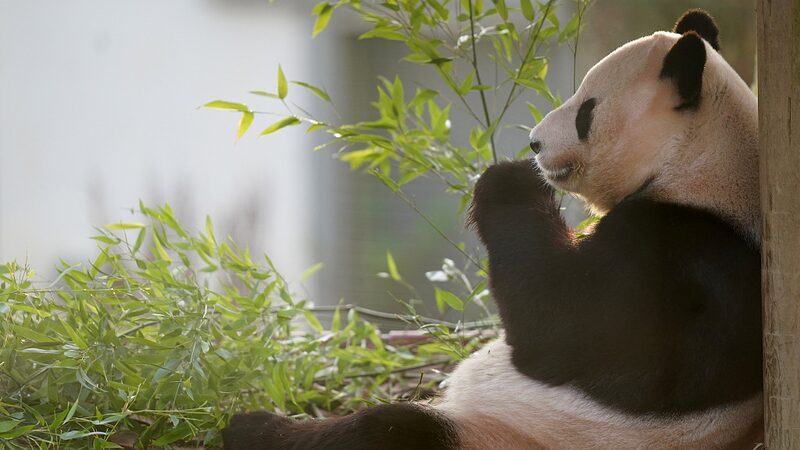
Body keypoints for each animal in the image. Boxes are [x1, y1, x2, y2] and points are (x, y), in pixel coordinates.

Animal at [223, 9, 762, 450]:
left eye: (586, 111)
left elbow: (564, 325)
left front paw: (507, 179)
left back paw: (253, 428)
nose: (536, 143)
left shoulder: (680, 251)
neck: (699, 162)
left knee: (391, 433)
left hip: (510, 437)